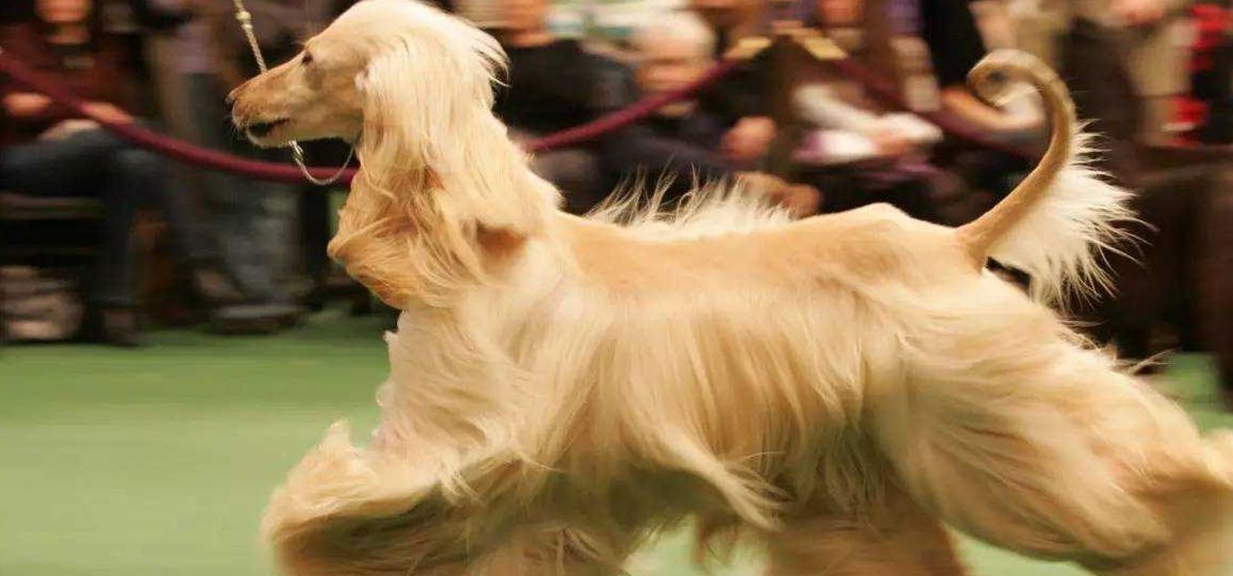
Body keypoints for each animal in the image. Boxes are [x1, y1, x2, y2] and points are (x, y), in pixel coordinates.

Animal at [229, 2, 1233, 575]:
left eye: (309, 57)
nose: (241, 101)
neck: (473, 245)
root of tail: (955, 241)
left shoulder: (464, 458)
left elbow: (330, 517)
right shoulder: (525, 499)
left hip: (1005, 427)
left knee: (1154, 490)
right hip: (854, 486)